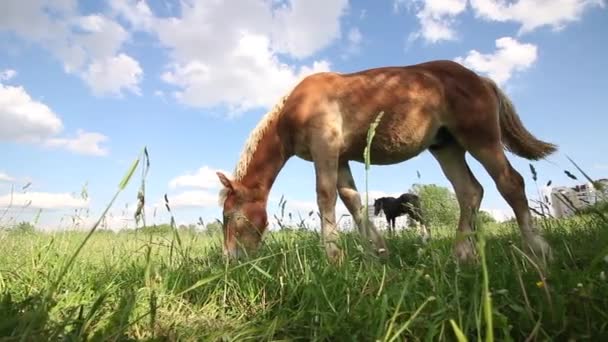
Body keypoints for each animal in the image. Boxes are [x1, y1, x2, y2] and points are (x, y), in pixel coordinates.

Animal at [216, 60, 560, 266]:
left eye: (231, 215)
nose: (230, 259)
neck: (296, 107)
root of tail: (482, 79)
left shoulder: (325, 147)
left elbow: (326, 196)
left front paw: (333, 257)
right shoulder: (341, 157)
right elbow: (352, 201)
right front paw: (378, 252)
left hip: (480, 138)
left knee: (510, 182)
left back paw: (538, 250)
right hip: (446, 147)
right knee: (470, 192)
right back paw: (461, 254)